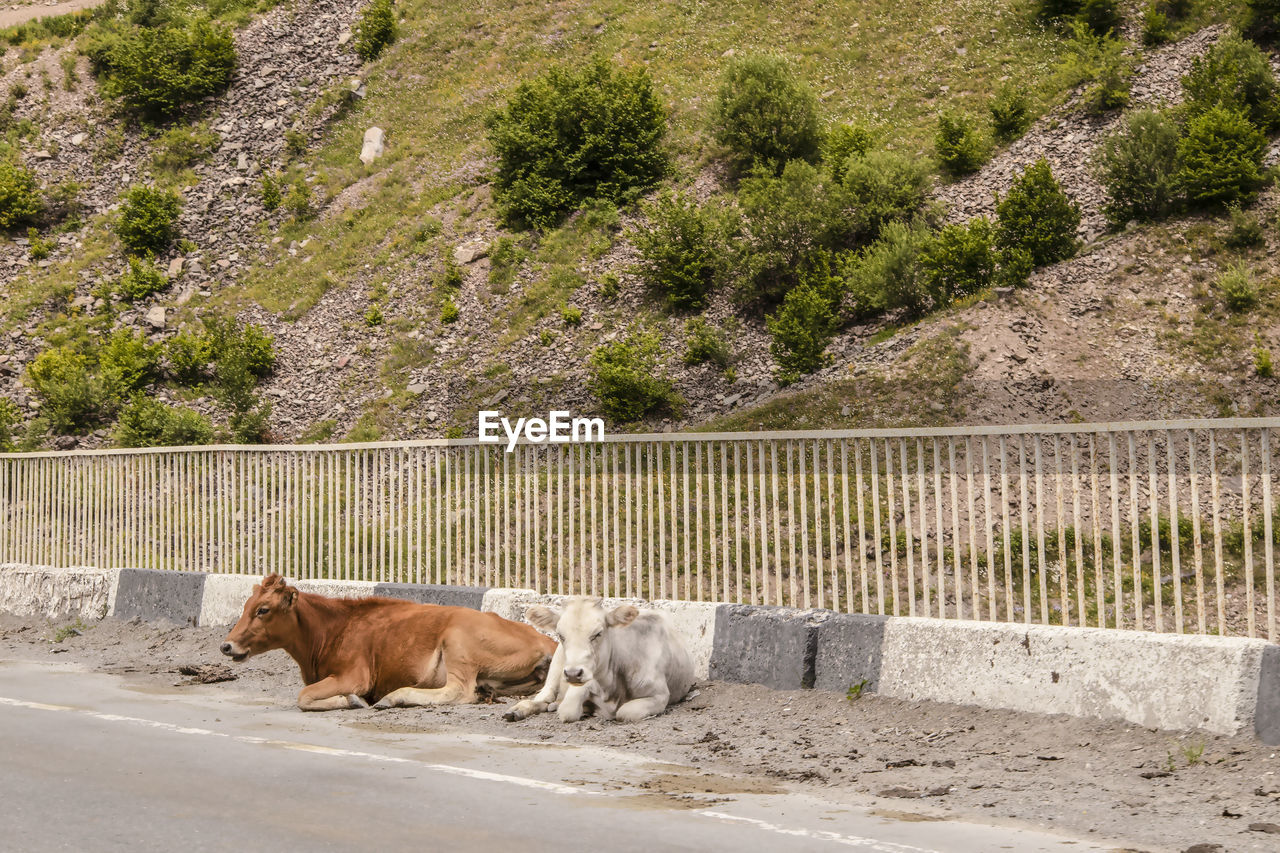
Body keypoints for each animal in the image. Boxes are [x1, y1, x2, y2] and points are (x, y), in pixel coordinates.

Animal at [221, 573, 560, 706]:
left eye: (263, 609)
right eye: (246, 606)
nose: (226, 645)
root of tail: (548, 640)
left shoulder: (355, 676)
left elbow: (304, 697)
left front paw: (350, 701)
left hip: (457, 642)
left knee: (460, 691)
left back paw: (393, 697)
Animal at [501, 594, 701, 722]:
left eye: (598, 633)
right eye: (560, 634)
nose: (573, 673)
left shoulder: (660, 695)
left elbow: (625, 712)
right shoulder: (582, 684)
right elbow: (568, 711)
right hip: (556, 667)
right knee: (544, 697)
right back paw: (517, 710)